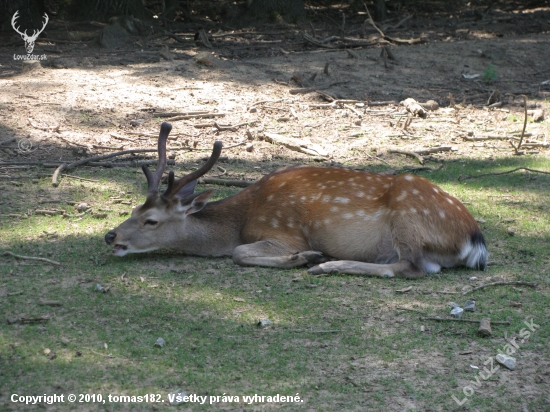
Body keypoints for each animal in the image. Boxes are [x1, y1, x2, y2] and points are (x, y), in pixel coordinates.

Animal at [105, 120, 490, 278]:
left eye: (151, 220)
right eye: (134, 208)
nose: (111, 235)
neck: (242, 218)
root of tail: (475, 240)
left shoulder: (284, 232)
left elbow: (239, 253)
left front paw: (303, 257)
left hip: (408, 218)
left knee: (410, 268)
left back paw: (326, 264)